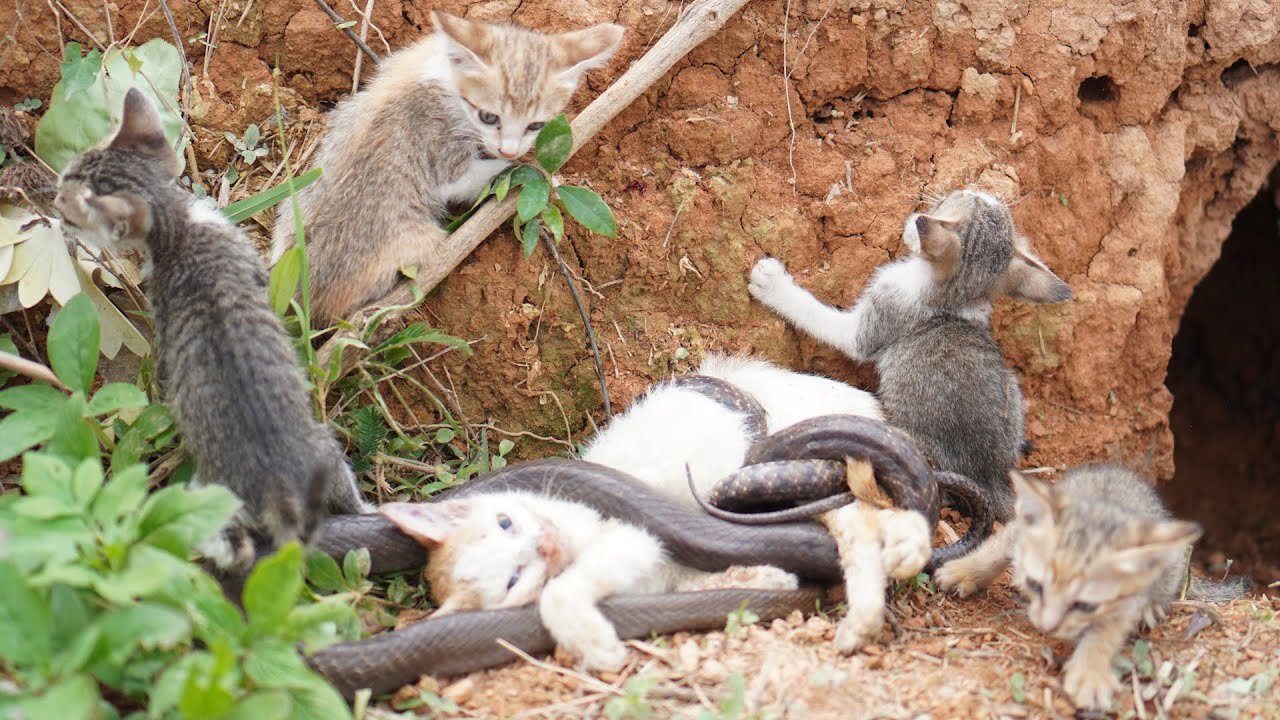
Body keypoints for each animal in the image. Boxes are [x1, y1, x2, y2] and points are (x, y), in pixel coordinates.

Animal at [275, 10, 624, 319]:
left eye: (536, 125)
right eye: (489, 117)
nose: (509, 149)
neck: (447, 79)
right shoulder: (443, 155)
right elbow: (475, 176)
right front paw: (539, 171)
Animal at [747, 188, 1075, 517]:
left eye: (945, 203)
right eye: (973, 195)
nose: (970, 187)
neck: (951, 298)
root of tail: (989, 479)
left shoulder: (873, 320)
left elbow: (818, 316)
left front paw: (773, 284)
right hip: (1012, 388)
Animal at [936, 466, 1244, 707]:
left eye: (1084, 605)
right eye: (1035, 585)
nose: (1046, 627)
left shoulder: (1123, 605)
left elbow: (1103, 635)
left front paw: (1089, 674)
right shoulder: (1019, 529)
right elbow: (996, 549)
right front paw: (964, 571)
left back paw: (1152, 606)